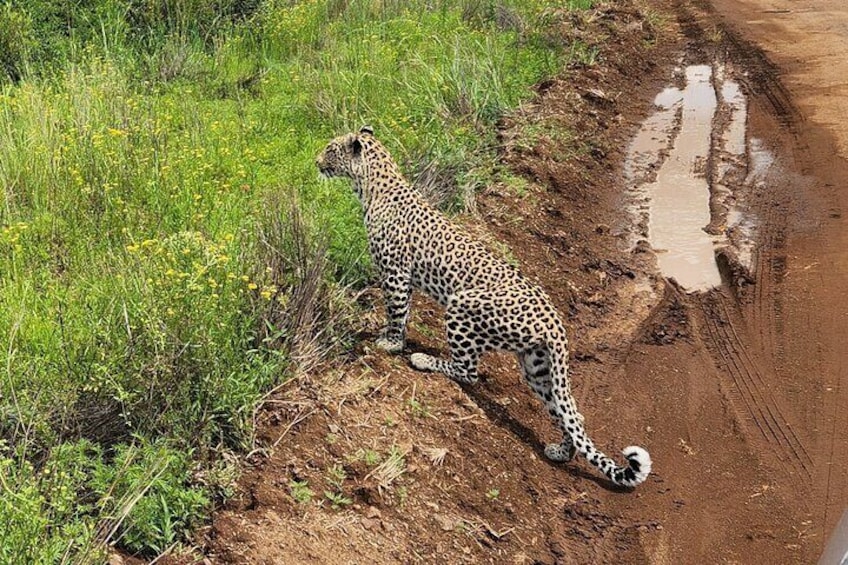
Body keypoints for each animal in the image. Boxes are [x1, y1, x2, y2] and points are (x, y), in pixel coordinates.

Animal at [316, 126, 651, 488]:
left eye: (330, 149)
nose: (316, 160)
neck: (371, 186)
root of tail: (556, 323)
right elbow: (400, 313)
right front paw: (387, 336)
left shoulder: (395, 273)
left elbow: (396, 311)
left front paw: (390, 344)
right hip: (537, 366)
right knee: (571, 413)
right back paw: (561, 452)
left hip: (462, 306)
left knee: (469, 371)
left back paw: (424, 360)